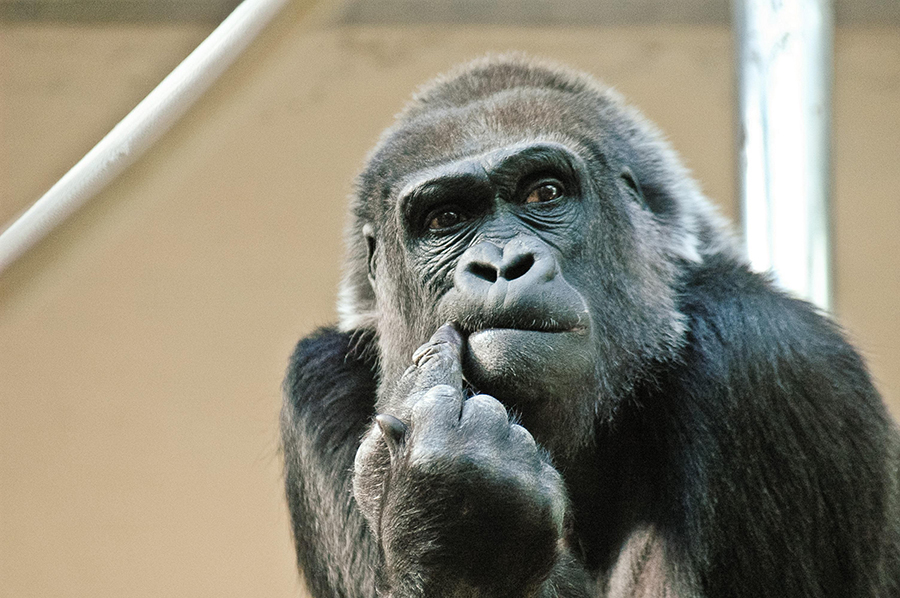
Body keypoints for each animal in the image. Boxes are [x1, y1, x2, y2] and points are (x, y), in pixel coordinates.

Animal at [281, 54, 900, 598]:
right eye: (445, 219)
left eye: (545, 192)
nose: (502, 265)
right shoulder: (317, 384)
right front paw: (451, 517)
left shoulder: (770, 354)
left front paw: (455, 506)